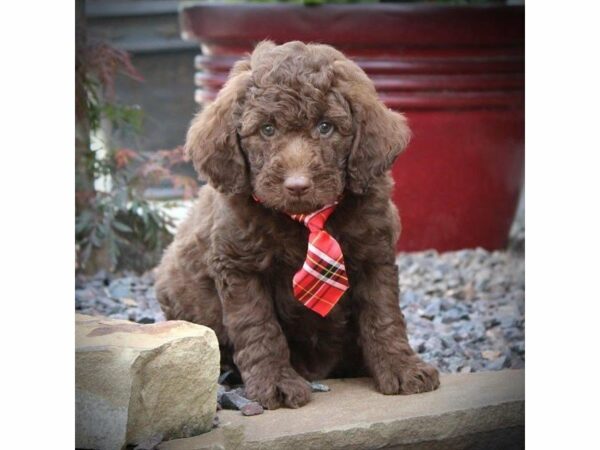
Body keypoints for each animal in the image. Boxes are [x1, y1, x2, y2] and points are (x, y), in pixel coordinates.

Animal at [155, 40, 440, 410]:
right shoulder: (239, 265)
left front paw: (402, 367)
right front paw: (275, 383)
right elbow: (258, 326)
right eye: (267, 129)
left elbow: (384, 315)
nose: (297, 185)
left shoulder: (374, 254)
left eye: (325, 127)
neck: (306, 220)